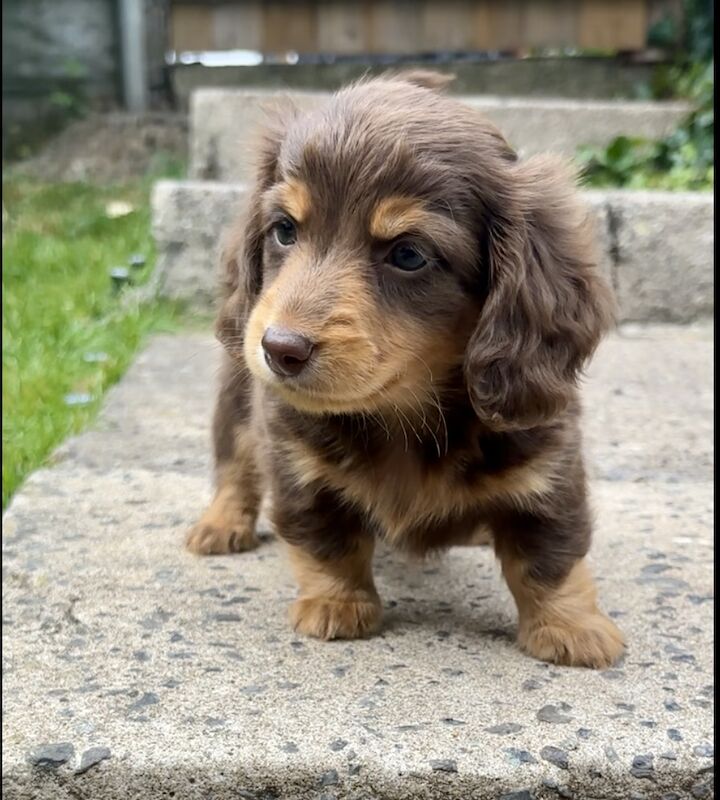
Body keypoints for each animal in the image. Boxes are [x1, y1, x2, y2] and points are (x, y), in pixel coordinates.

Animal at [186, 70, 624, 668]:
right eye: (284, 230)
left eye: (409, 255)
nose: (280, 349)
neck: (403, 413)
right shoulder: (294, 460)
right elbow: (325, 539)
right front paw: (336, 604)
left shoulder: (547, 465)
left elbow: (551, 554)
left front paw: (573, 627)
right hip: (235, 402)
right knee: (234, 465)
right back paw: (220, 524)